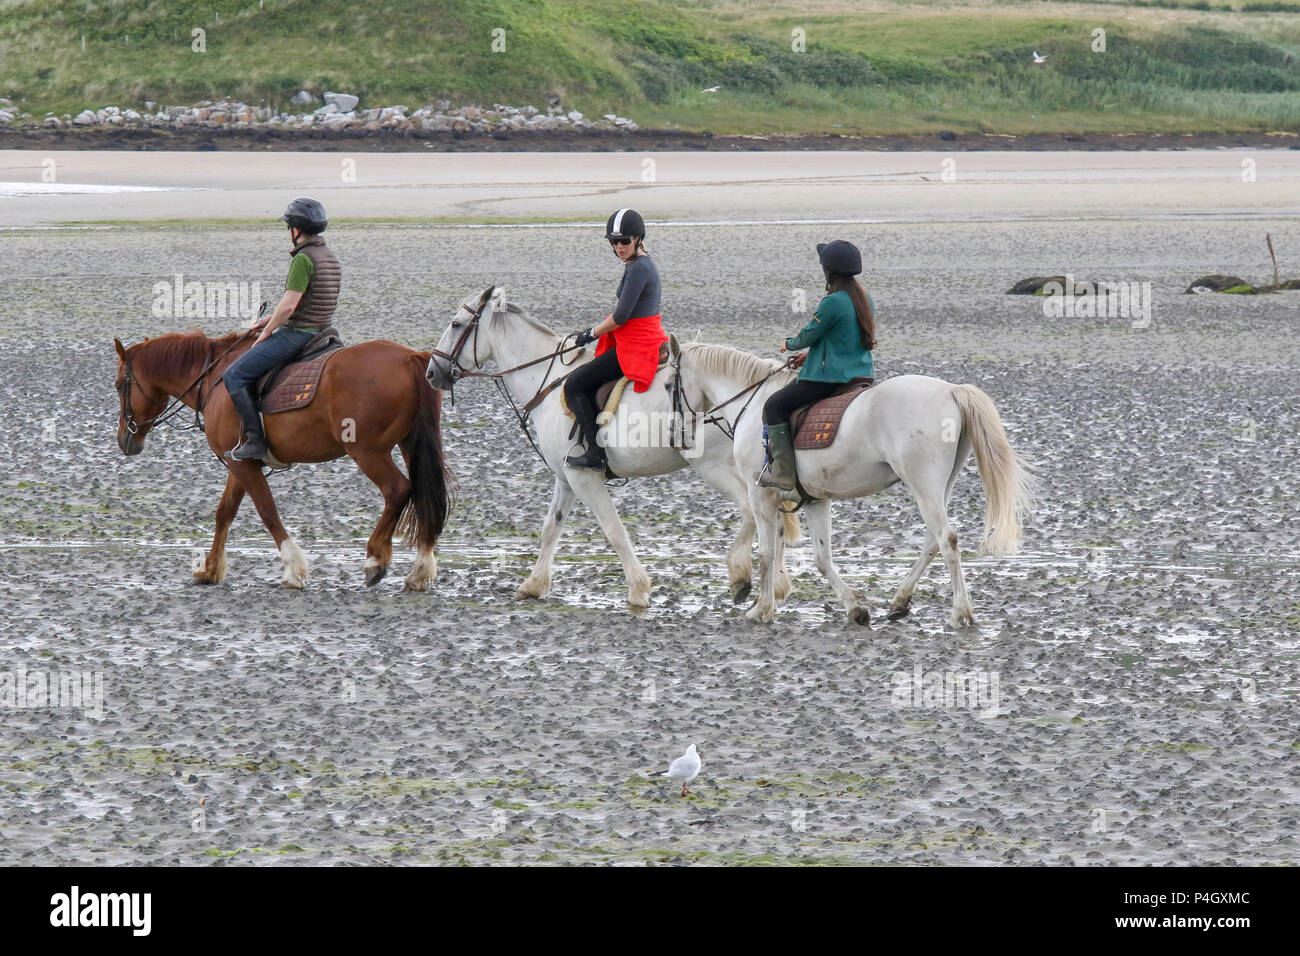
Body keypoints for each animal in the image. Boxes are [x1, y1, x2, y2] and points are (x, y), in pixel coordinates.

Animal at [113, 330, 457, 590]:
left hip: (367, 452)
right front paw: (209, 569)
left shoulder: (242, 465)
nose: (125, 439)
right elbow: (225, 513)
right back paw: (420, 569)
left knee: (398, 490)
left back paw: (376, 559)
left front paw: (293, 568)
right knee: (424, 496)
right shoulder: (240, 462)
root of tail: (409, 356)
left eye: (118, 386)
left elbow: (267, 511)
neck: (216, 378)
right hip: (410, 444)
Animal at [426, 287, 795, 608]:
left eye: (456, 324)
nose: (432, 372)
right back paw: (775, 586)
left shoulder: (585, 479)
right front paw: (533, 585)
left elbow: (614, 531)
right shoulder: (566, 479)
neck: (547, 381)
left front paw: (638, 589)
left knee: (751, 511)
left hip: (714, 466)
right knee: (772, 517)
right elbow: (551, 528)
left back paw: (741, 575)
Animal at [681, 343, 1034, 629]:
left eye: (672, 383)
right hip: (938, 488)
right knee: (933, 541)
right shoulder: (815, 500)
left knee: (946, 539)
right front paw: (854, 608)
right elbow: (822, 558)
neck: (753, 407)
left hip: (924, 486)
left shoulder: (760, 497)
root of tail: (950, 390)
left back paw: (959, 613)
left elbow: (766, 553)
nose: (683, 433)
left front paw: (760, 609)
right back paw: (900, 601)